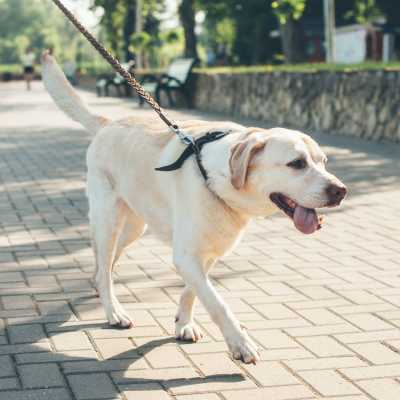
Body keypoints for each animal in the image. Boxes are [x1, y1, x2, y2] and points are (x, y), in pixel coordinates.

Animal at [41, 54, 346, 366]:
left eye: (323, 162)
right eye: (297, 163)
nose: (340, 191)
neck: (217, 178)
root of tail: (108, 123)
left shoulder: (207, 252)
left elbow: (193, 292)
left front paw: (183, 323)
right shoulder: (186, 255)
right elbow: (217, 302)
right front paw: (240, 343)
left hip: (134, 226)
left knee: (105, 264)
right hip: (108, 220)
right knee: (103, 266)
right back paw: (113, 310)